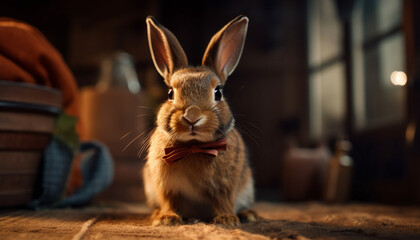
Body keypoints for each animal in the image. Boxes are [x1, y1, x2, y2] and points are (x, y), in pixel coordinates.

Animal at [143, 15, 256, 227]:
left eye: (218, 92)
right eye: (170, 93)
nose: (192, 116)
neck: (193, 146)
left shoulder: (224, 187)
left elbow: (223, 201)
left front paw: (227, 220)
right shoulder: (167, 186)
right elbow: (169, 201)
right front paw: (167, 219)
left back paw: (248, 214)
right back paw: (156, 214)